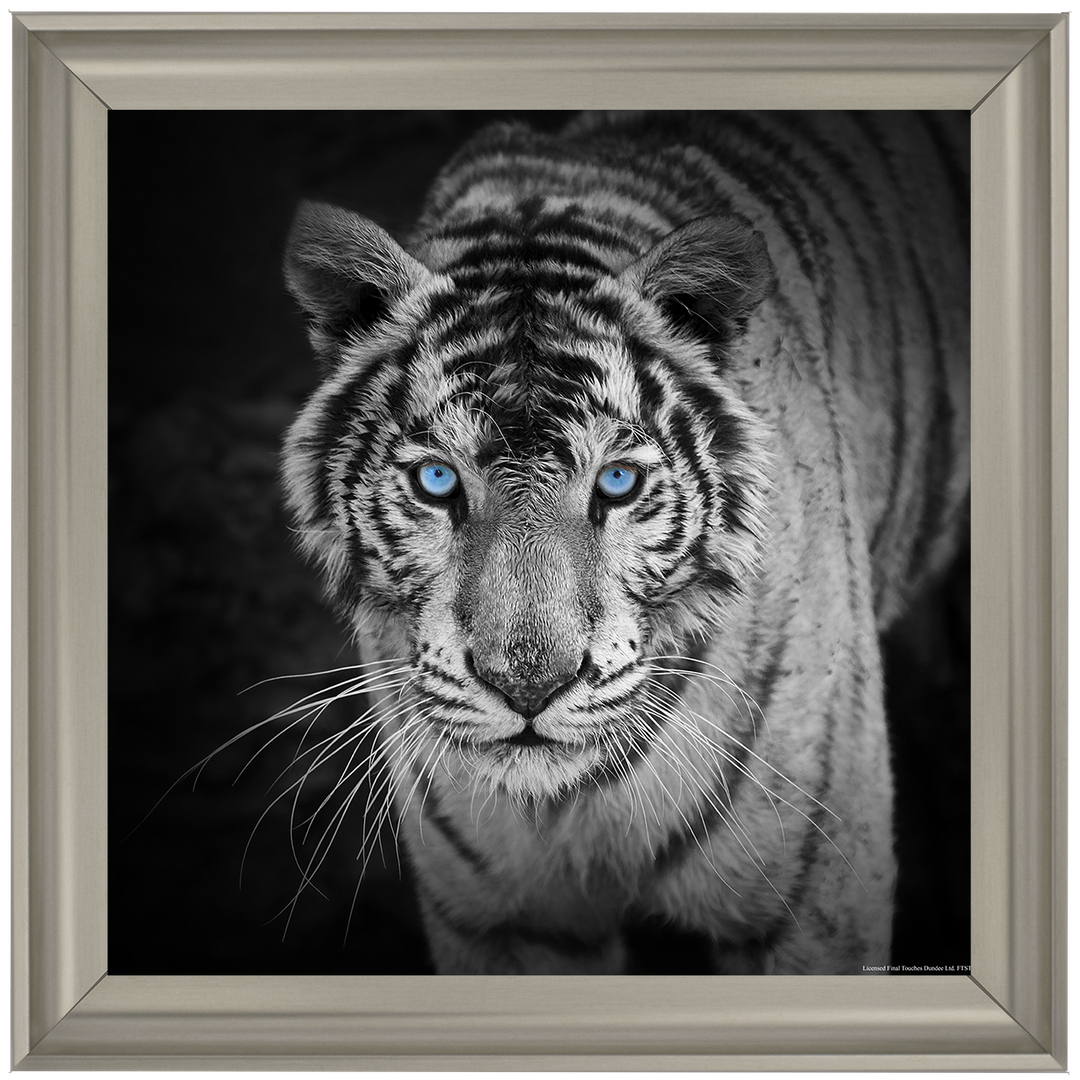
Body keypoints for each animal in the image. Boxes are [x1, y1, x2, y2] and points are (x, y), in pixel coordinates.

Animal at [280, 111, 970, 975]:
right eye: (438, 480)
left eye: (616, 483)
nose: (529, 687)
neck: (572, 804)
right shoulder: (505, 921)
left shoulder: (812, 907)